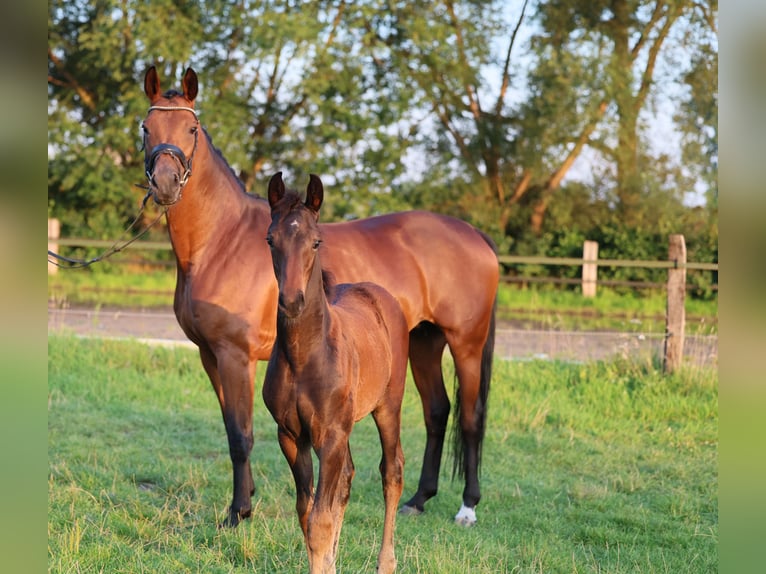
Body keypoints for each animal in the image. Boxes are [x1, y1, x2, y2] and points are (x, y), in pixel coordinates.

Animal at [142, 65, 504, 528]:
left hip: (466, 343)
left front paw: (239, 512)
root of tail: (475, 234)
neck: (221, 241)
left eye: (191, 129)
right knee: (437, 411)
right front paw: (246, 500)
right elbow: (230, 429)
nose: (166, 183)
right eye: (146, 128)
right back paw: (419, 499)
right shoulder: (210, 355)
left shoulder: (234, 355)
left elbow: (241, 435)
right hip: (424, 340)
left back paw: (467, 506)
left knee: (471, 418)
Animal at [264, 176, 408, 574]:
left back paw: (386, 562)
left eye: (316, 241)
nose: (292, 301)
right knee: (346, 480)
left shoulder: (329, 436)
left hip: (388, 406)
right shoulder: (291, 435)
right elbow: (306, 512)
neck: (304, 356)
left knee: (392, 472)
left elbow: (320, 521)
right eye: (270, 239)